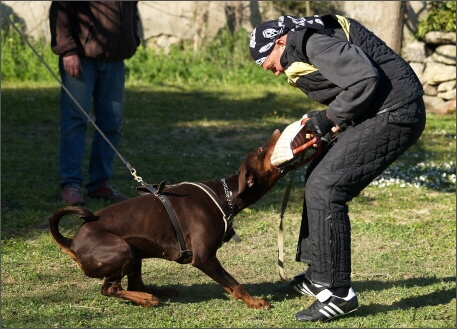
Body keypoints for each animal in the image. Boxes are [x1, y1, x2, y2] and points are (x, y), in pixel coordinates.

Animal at [49, 129, 296, 308]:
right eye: (262, 149)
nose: (277, 131)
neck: (225, 195)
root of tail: (71, 242)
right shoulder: (204, 257)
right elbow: (233, 283)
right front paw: (255, 301)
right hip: (121, 249)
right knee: (109, 289)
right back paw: (147, 299)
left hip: (134, 250)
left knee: (135, 282)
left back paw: (154, 292)